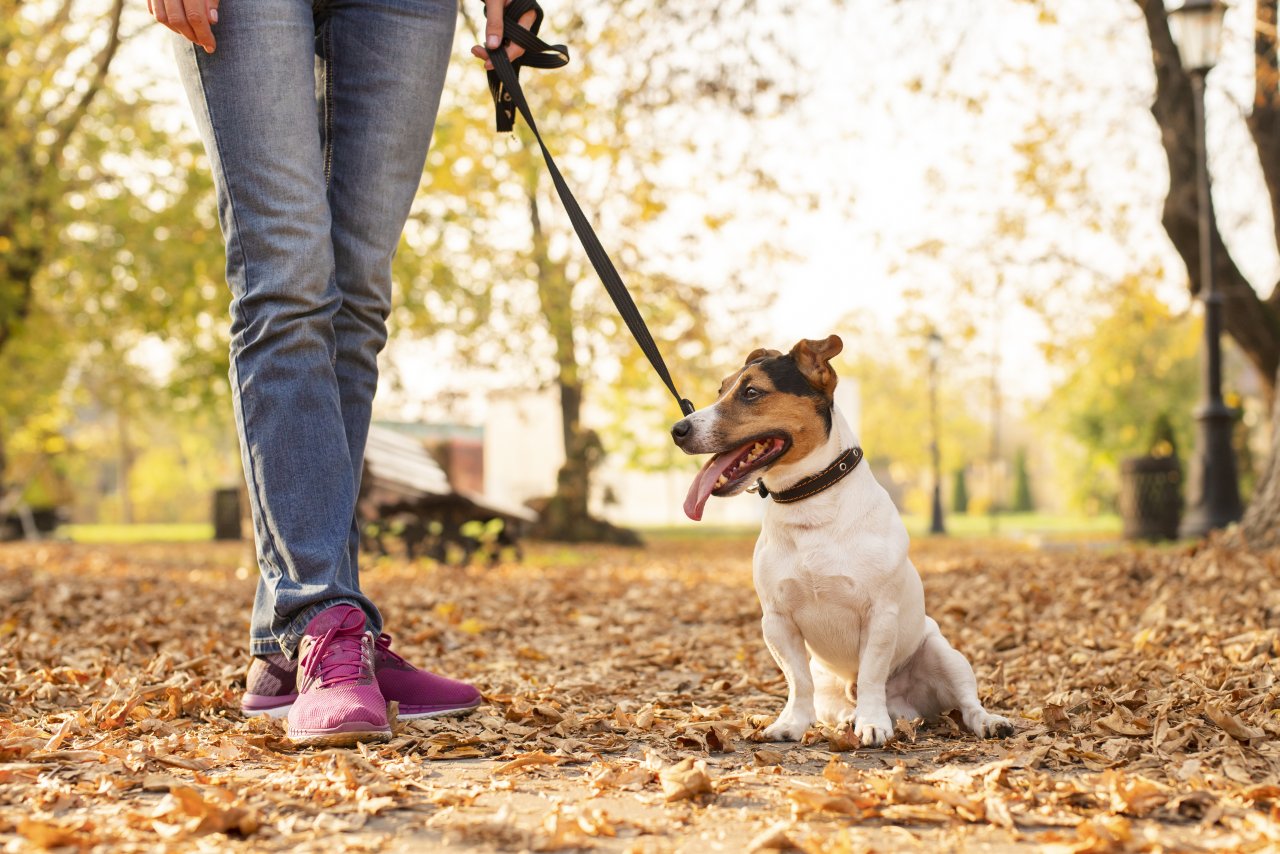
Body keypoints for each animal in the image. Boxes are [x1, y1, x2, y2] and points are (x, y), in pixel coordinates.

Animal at [670, 335, 1008, 747]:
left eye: (751, 392)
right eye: (721, 390)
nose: (678, 429)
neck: (810, 501)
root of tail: (908, 710)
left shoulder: (880, 615)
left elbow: (872, 674)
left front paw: (873, 723)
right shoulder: (777, 621)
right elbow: (797, 681)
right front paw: (792, 723)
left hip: (946, 655)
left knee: (967, 703)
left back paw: (986, 721)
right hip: (828, 683)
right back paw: (848, 719)